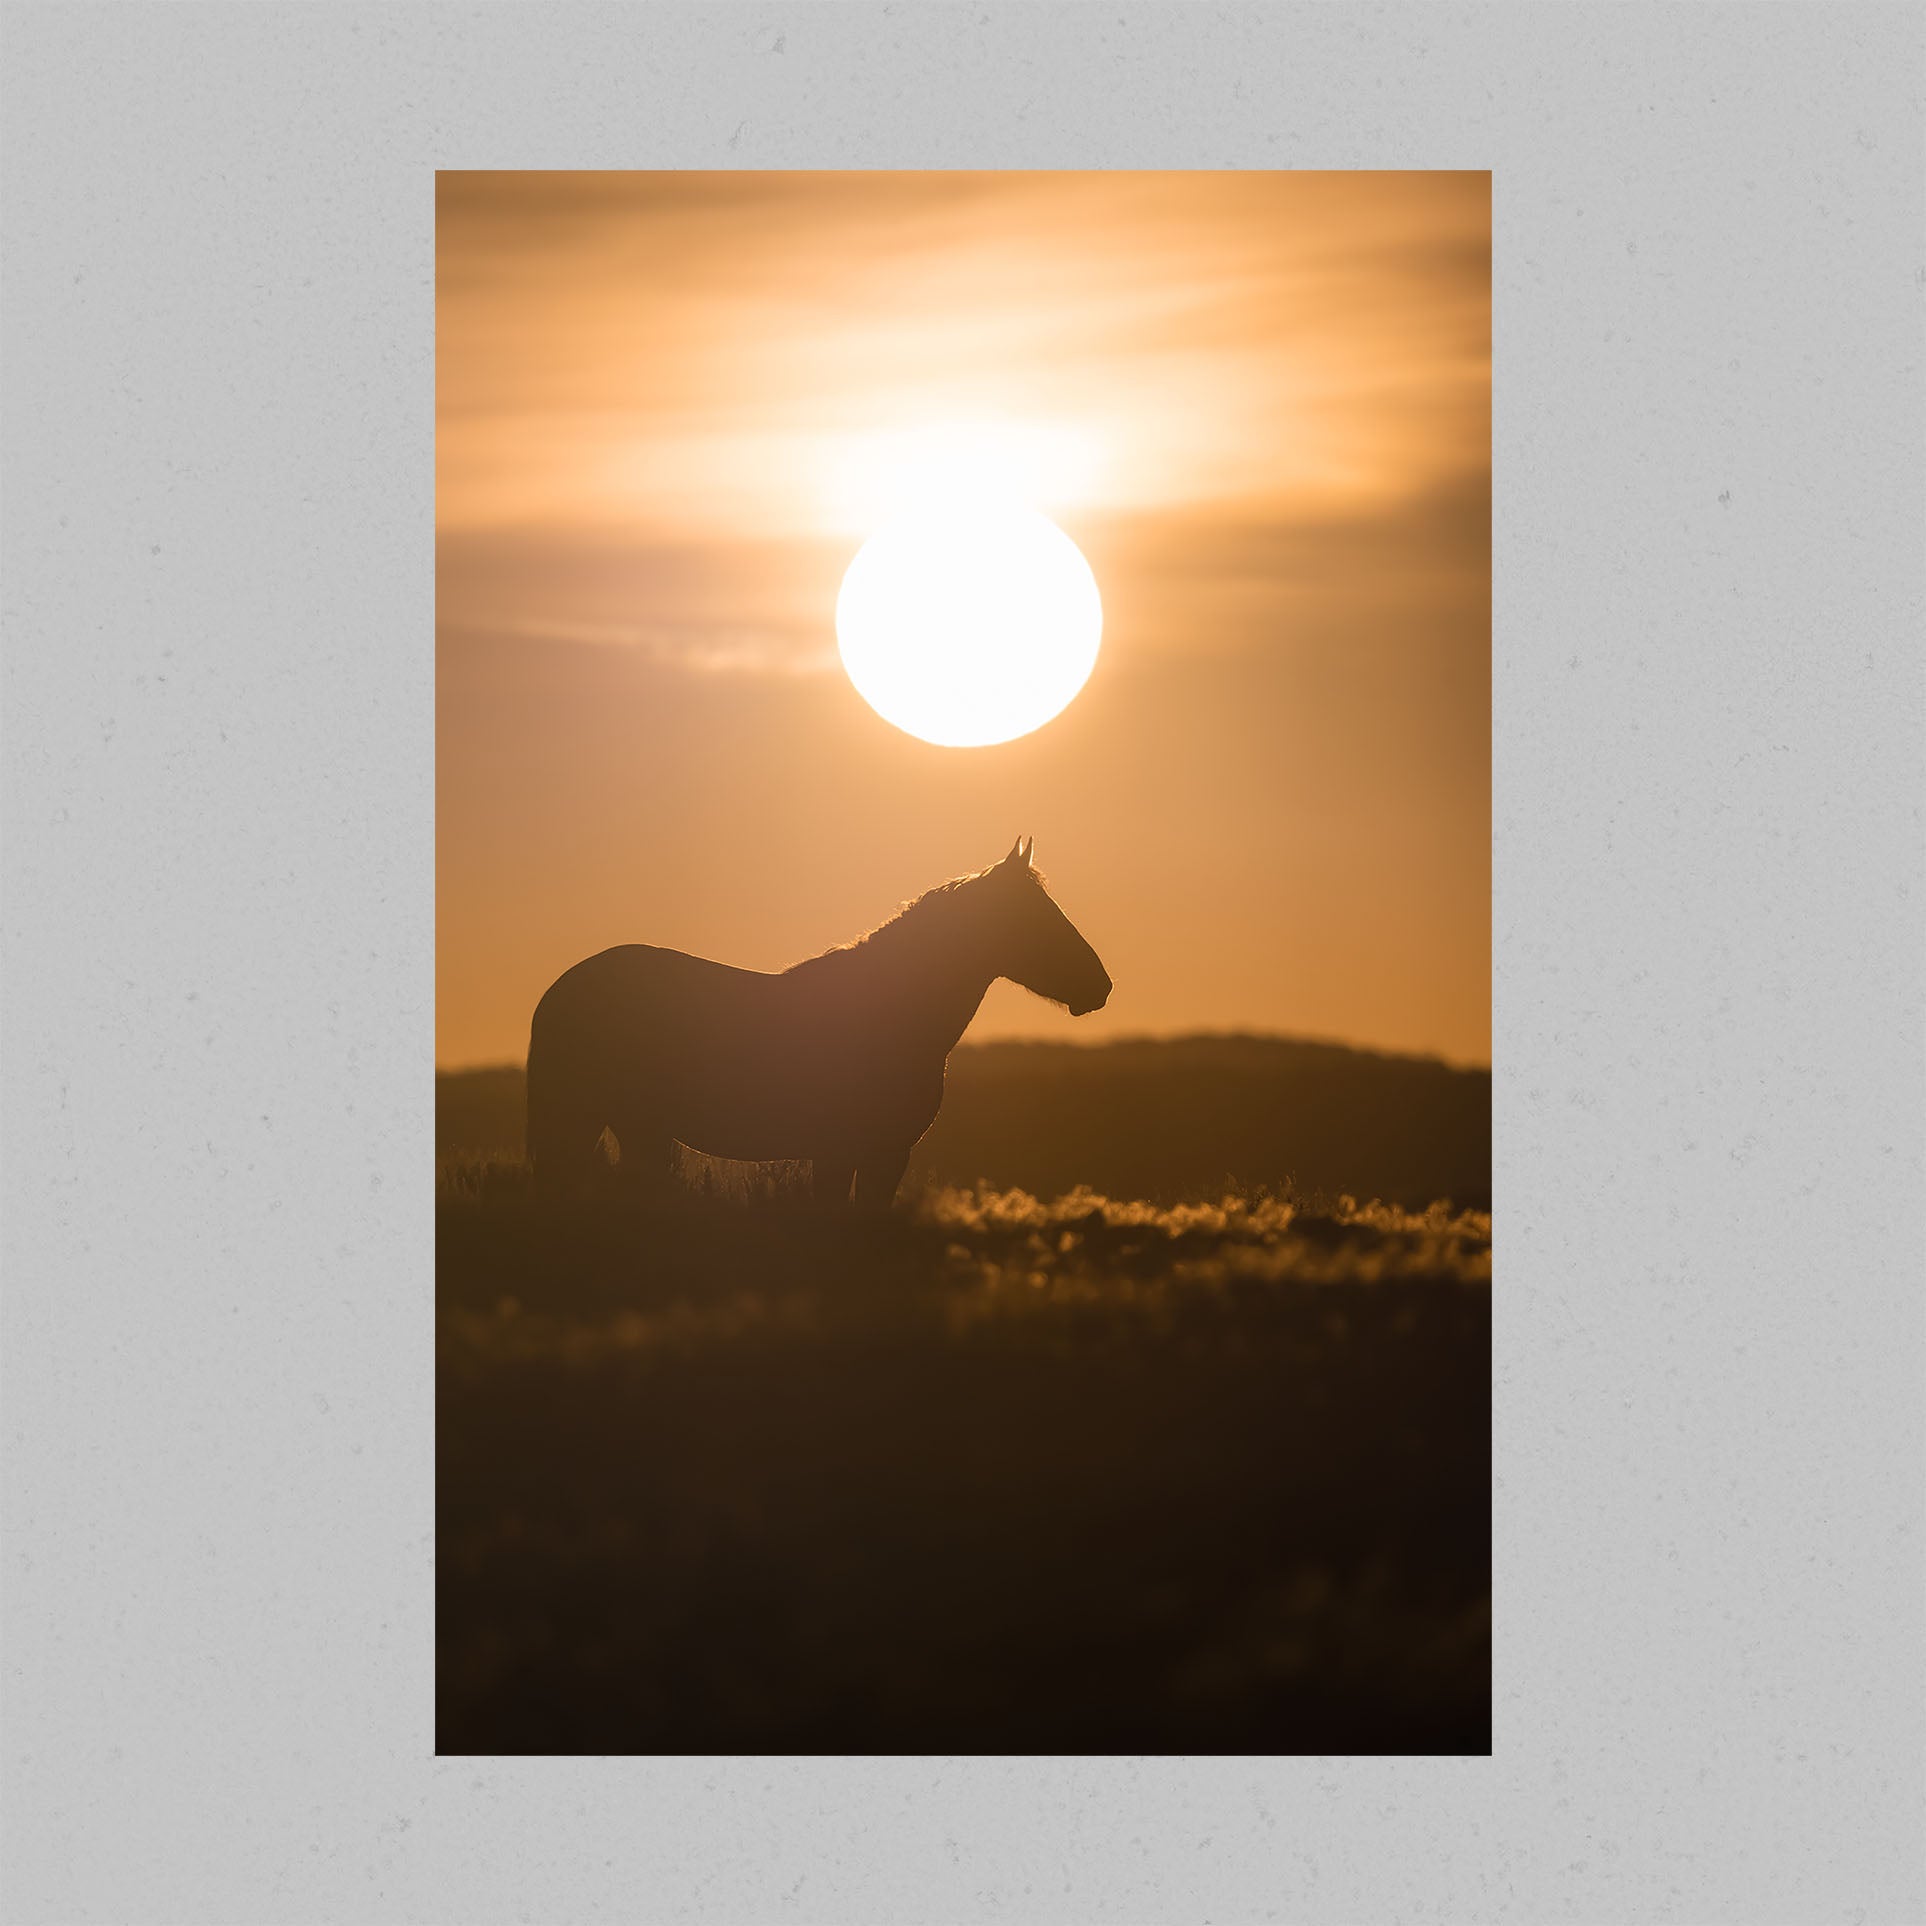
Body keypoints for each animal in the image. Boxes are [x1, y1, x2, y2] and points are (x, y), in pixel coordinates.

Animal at [525, 837, 1111, 1207]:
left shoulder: (878, 1153)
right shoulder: (850, 1151)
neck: (895, 1016)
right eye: (1034, 916)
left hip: (638, 1127)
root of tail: (559, 990)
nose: (1101, 986)